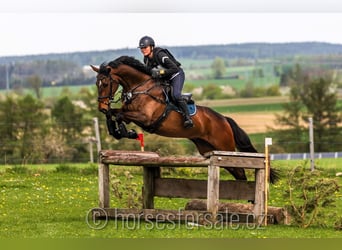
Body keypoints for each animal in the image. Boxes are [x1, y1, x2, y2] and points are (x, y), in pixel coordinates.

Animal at [90, 55, 278, 183]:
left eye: (105, 83)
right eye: (96, 83)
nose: (101, 107)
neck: (141, 87)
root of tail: (224, 119)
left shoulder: (145, 117)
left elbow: (119, 115)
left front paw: (125, 132)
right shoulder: (130, 113)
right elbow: (114, 113)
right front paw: (118, 131)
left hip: (224, 147)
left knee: (240, 172)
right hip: (208, 148)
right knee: (237, 172)